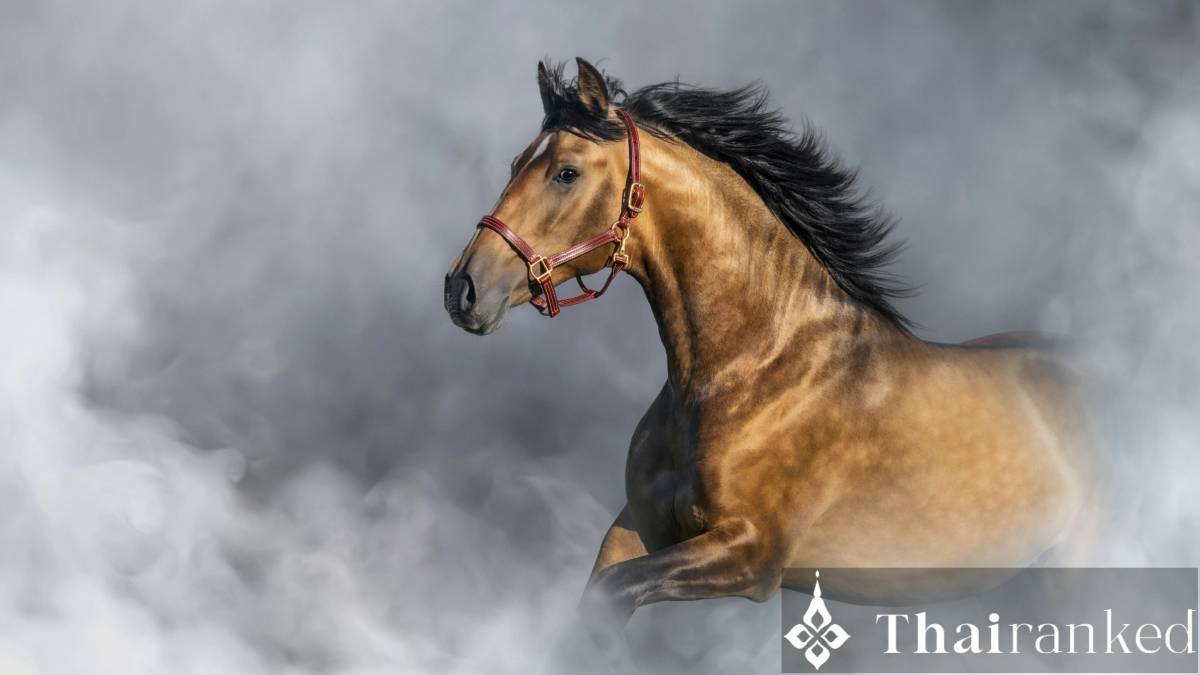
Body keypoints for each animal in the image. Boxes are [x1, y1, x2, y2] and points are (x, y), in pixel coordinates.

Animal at [444, 58, 1094, 627]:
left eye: (566, 173)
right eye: (516, 163)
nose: (462, 288)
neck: (754, 366)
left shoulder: (751, 554)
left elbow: (615, 593)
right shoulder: (638, 529)